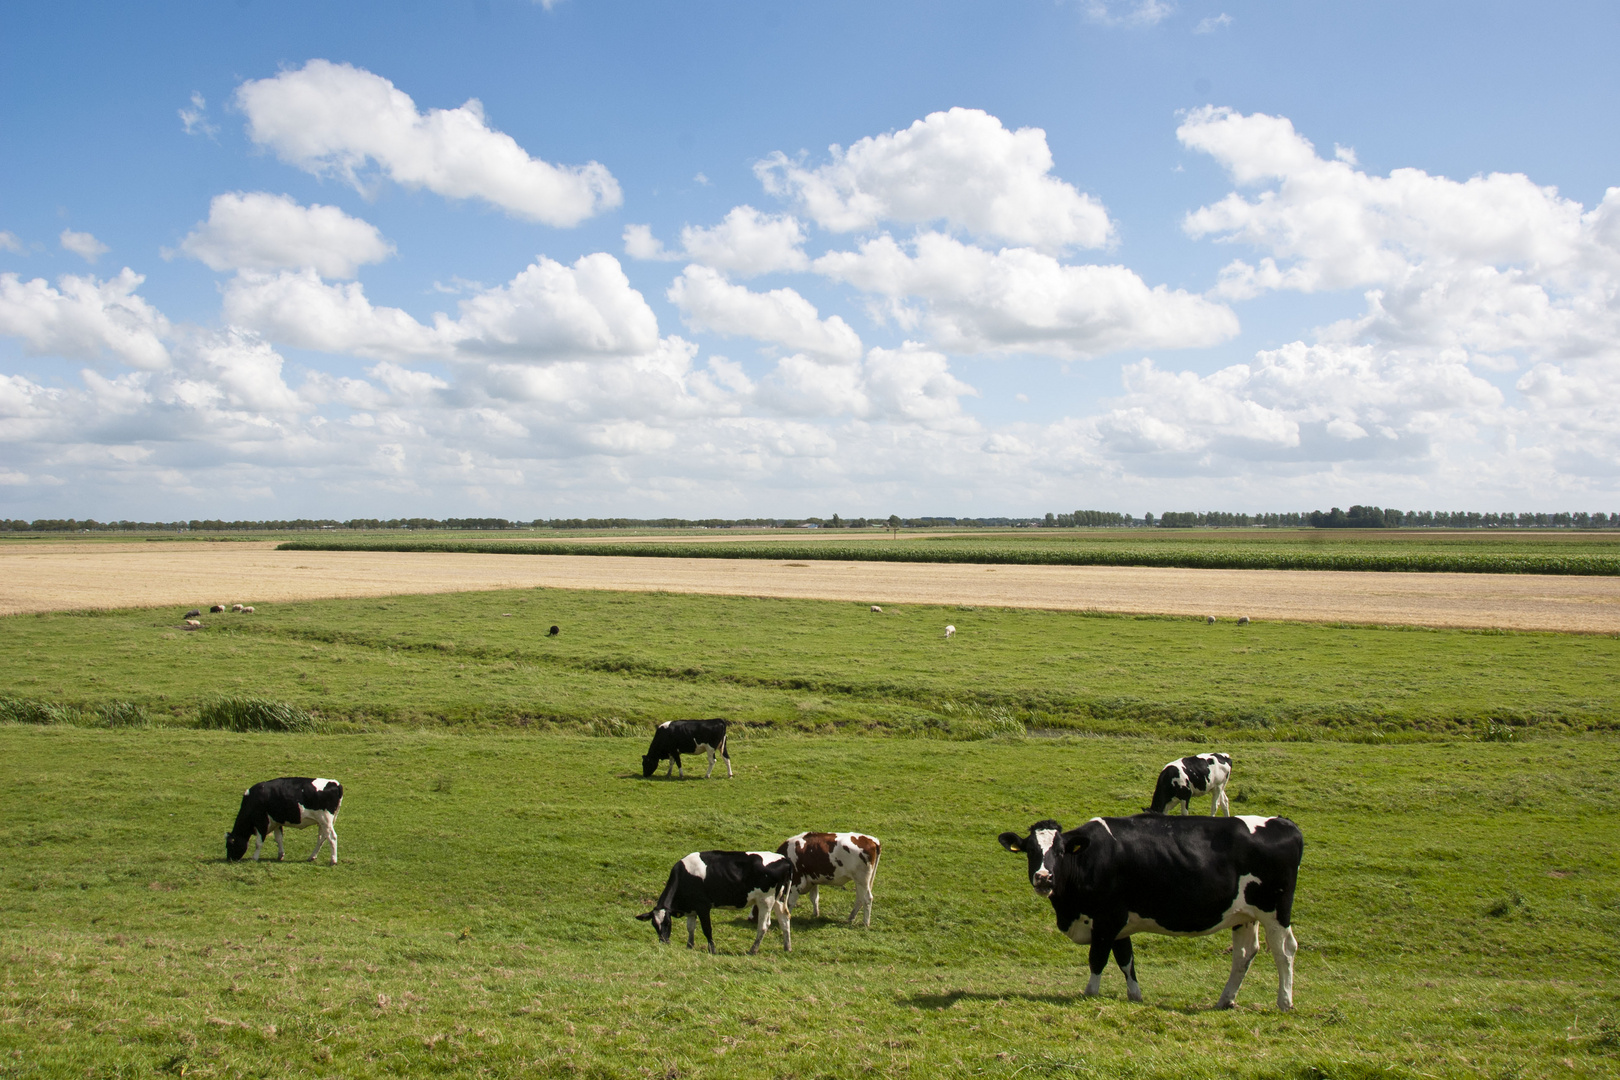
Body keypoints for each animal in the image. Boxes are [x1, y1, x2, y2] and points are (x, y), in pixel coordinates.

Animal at [635, 854, 793, 952]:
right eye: (654, 924)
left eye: (668, 922)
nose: (664, 942)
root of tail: (784, 859)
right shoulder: (691, 908)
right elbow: (690, 928)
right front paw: (689, 946)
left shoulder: (703, 906)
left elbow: (707, 928)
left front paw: (712, 949)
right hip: (779, 899)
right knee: (784, 920)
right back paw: (787, 947)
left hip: (765, 900)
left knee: (764, 925)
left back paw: (752, 950)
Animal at [997, 816, 1302, 1010]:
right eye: (1030, 851)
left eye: (1060, 851)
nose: (1044, 877)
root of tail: (1285, 823)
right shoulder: (1119, 923)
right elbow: (1126, 960)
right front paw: (1135, 996)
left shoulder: (1107, 919)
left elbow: (1097, 959)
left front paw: (1090, 993)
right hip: (1246, 915)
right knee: (1244, 954)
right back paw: (1224, 1000)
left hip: (1275, 911)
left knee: (1284, 950)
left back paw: (1284, 1002)